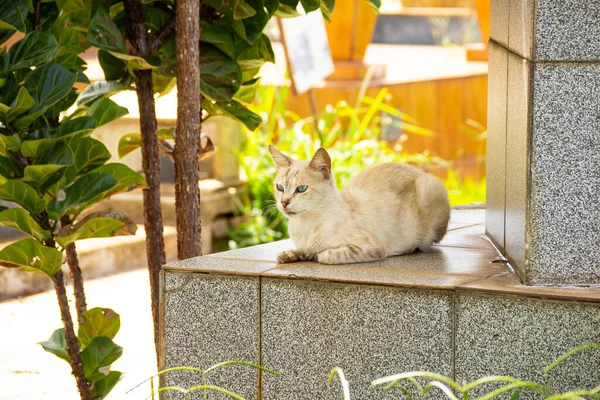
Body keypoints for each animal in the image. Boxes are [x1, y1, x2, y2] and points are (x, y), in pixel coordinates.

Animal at [268, 145, 450, 264]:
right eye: (280, 187)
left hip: (430, 190)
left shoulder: (373, 247)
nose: (284, 202)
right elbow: (300, 251)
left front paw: (316, 255)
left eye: (301, 189)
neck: (305, 226)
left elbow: (324, 255)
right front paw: (289, 255)